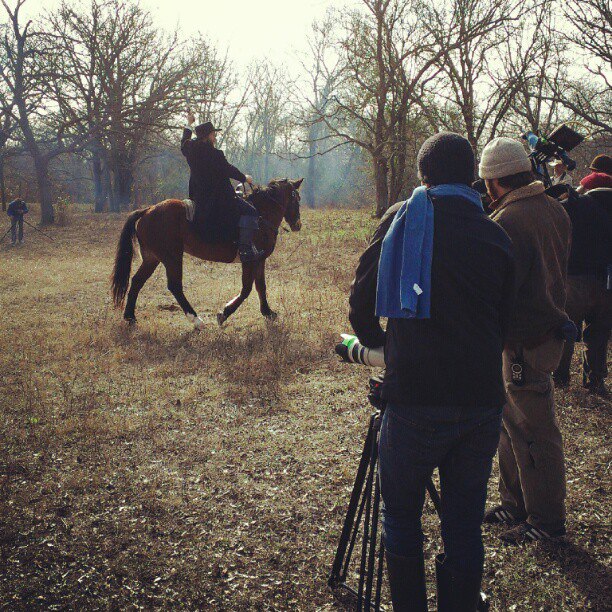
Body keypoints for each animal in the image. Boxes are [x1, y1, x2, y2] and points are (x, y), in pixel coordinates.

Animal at [111, 178, 302, 328]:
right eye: (297, 198)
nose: (297, 225)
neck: (261, 215)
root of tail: (148, 210)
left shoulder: (260, 260)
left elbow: (260, 286)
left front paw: (268, 312)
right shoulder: (250, 260)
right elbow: (247, 289)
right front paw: (224, 313)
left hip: (152, 258)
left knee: (137, 281)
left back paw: (130, 317)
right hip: (172, 257)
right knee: (174, 286)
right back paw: (196, 320)